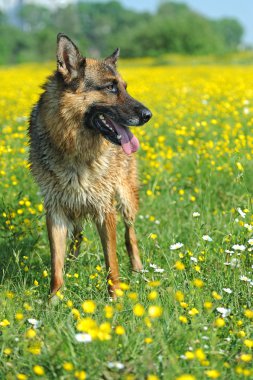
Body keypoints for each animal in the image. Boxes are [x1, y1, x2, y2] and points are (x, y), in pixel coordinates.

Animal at [29, 33, 152, 300]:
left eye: (125, 87)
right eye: (110, 87)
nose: (148, 115)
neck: (73, 145)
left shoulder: (105, 209)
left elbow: (111, 261)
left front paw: (115, 297)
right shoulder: (55, 211)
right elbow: (56, 262)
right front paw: (54, 298)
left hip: (126, 199)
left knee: (130, 234)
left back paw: (138, 269)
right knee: (77, 235)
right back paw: (73, 264)